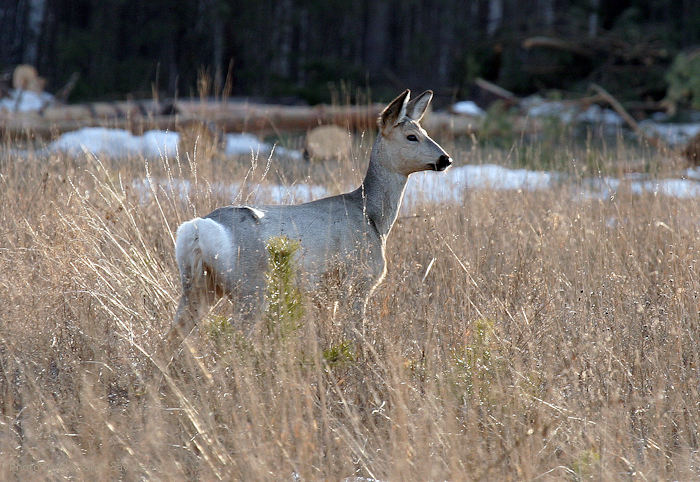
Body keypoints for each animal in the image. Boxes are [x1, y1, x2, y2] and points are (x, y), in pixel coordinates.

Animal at [166, 89, 452, 346]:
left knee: (172, 335)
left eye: (426, 133)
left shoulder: (325, 292)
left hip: (199, 284)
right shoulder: (358, 279)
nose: (445, 159)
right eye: (412, 137)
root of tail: (197, 228)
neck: (373, 219)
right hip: (250, 286)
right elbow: (355, 334)